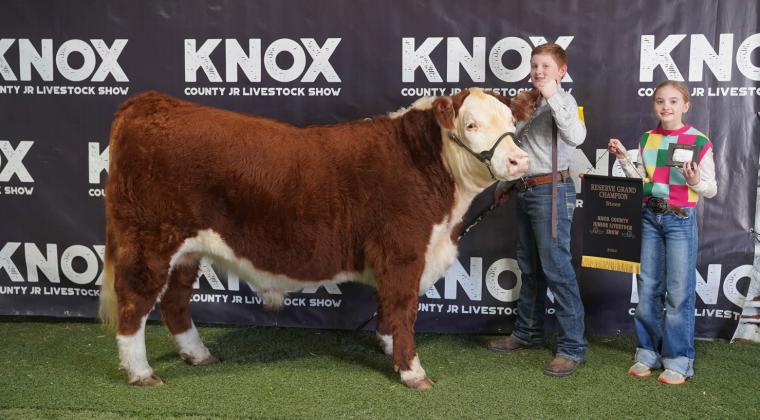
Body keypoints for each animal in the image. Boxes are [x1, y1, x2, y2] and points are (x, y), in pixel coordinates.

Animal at [98, 87, 530, 389]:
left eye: (512, 121)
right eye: (471, 125)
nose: (519, 161)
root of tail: (153, 103)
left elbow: (389, 308)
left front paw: (388, 346)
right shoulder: (403, 251)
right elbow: (404, 309)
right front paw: (412, 371)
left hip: (186, 251)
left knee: (175, 303)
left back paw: (197, 354)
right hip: (148, 242)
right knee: (134, 304)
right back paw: (141, 372)